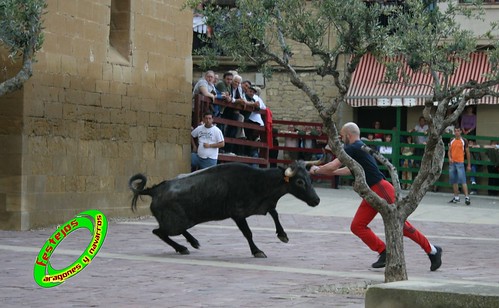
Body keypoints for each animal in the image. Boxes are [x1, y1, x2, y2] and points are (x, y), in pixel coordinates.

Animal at [129, 161, 320, 258]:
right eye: (299, 182)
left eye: (309, 179)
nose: (316, 200)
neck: (259, 182)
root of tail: (155, 190)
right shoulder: (237, 214)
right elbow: (248, 233)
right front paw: (257, 251)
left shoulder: (261, 207)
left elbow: (274, 213)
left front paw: (283, 235)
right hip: (174, 223)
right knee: (158, 232)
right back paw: (182, 247)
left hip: (182, 221)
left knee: (173, 230)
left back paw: (193, 242)